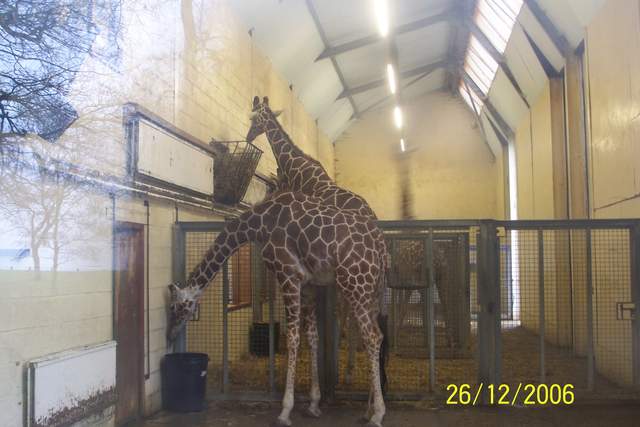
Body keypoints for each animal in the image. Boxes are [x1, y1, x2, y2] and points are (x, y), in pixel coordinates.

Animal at [168, 191, 388, 427]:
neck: (260, 223)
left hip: (355, 284)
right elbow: (312, 337)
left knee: (372, 336)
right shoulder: (308, 285)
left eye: (177, 307)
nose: (170, 336)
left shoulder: (288, 275)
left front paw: (285, 411)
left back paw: (377, 414)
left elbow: (293, 338)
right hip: (372, 290)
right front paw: (313, 404)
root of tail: (381, 245)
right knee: (376, 336)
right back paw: (367, 411)